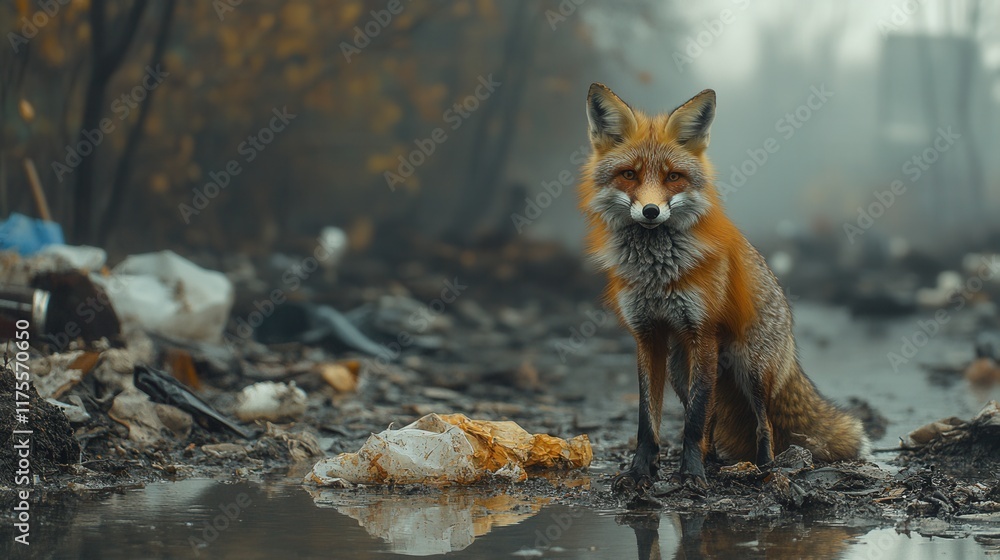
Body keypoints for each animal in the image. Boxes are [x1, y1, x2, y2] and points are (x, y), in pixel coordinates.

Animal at [578, 83, 869, 491]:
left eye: (673, 177)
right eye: (629, 174)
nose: (651, 211)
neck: (657, 272)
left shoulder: (703, 332)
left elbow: (695, 421)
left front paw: (691, 477)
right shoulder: (647, 336)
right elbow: (648, 421)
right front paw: (640, 473)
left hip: (750, 370)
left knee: (762, 425)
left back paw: (765, 468)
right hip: (684, 372)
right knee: (711, 420)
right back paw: (713, 460)